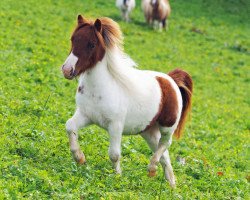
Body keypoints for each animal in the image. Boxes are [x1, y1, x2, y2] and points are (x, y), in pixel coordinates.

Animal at [61, 15, 193, 188]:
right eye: (73, 39)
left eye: (91, 44)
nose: (67, 70)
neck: (100, 89)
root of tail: (171, 80)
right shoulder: (86, 116)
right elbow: (70, 126)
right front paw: (80, 158)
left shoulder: (115, 125)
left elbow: (114, 154)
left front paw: (117, 177)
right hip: (148, 132)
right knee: (165, 155)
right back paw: (170, 185)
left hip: (166, 127)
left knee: (166, 144)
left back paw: (152, 169)